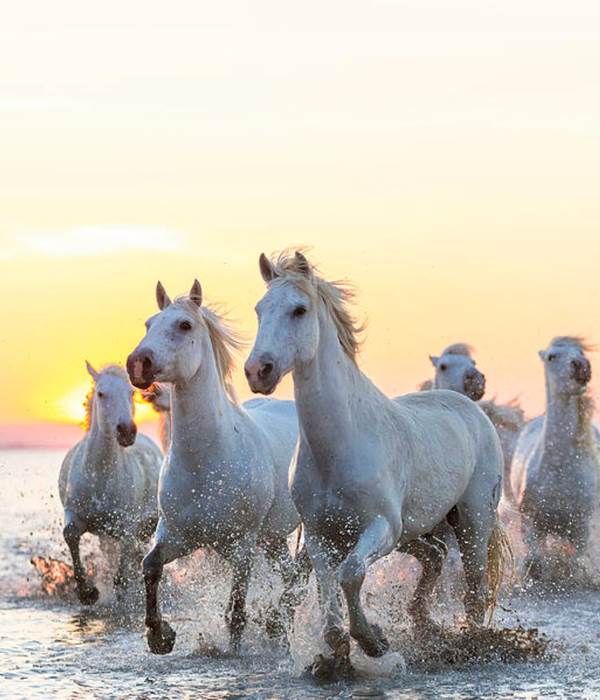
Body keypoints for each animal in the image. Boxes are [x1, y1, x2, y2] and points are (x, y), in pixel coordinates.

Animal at [58, 363, 163, 605]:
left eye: (131, 393)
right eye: (101, 393)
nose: (126, 431)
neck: (100, 477)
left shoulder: (126, 523)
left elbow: (124, 562)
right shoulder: (74, 512)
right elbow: (70, 534)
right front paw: (87, 592)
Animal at [126, 279, 310, 655]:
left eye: (184, 325)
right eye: (149, 324)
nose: (138, 363)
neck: (205, 464)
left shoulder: (241, 548)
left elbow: (236, 613)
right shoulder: (178, 535)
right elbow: (150, 566)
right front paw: (160, 635)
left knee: (299, 574)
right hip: (272, 539)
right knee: (288, 574)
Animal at [245, 251, 508, 673]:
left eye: (299, 310)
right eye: (259, 309)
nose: (258, 371)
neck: (339, 446)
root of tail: (473, 410)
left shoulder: (380, 526)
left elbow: (351, 574)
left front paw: (374, 642)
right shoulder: (319, 535)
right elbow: (327, 586)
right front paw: (334, 652)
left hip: (472, 521)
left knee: (474, 586)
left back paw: (469, 642)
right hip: (416, 532)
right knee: (435, 556)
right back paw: (422, 623)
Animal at [510, 336, 599, 577]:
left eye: (580, 352)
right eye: (552, 356)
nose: (581, 366)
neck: (560, 470)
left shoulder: (581, 530)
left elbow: (577, 563)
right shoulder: (530, 523)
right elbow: (535, 562)